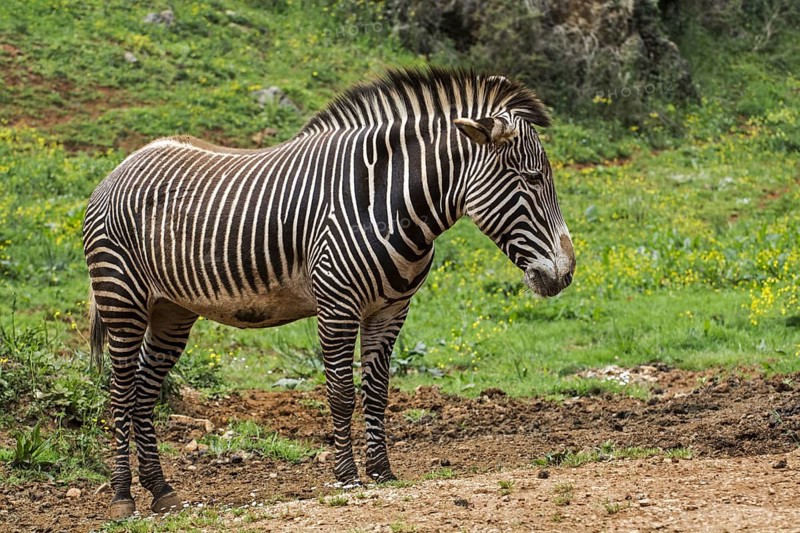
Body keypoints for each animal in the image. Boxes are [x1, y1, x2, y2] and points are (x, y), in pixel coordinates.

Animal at [83, 67, 575, 519]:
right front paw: (347, 476)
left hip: (171, 310)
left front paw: (381, 472)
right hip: (121, 300)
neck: (387, 201)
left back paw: (161, 491)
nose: (567, 273)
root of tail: (120, 166)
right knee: (120, 390)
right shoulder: (337, 305)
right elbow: (340, 392)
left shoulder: (391, 310)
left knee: (144, 391)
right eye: (533, 178)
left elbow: (376, 391)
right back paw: (123, 497)